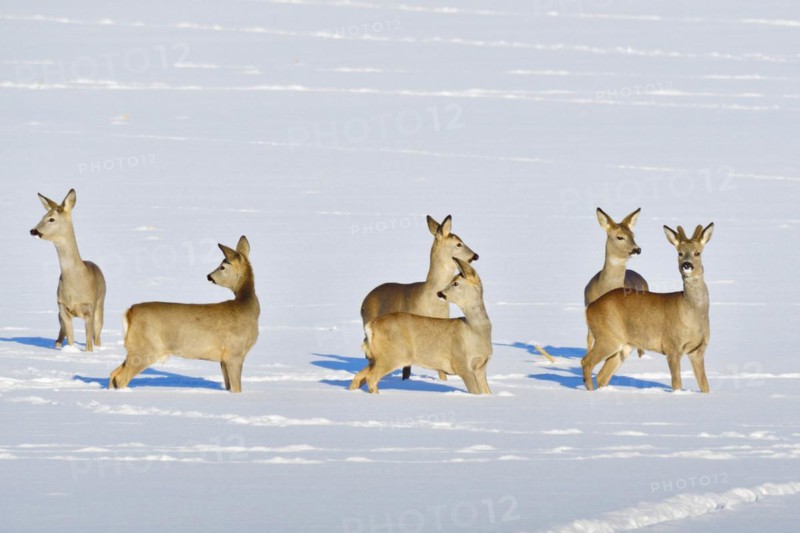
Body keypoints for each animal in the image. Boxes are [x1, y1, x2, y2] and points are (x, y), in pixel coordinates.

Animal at [30, 188, 106, 352]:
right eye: (42, 216)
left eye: (51, 219)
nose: (33, 231)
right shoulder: (62, 306)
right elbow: (70, 337)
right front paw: (70, 352)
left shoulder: (89, 306)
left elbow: (89, 341)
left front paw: (88, 353)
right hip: (59, 316)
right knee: (60, 336)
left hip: (100, 303)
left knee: (97, 336)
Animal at [108, 236, 260, 393]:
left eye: (222, 266)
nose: (209, 276)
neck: (247, 308)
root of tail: (130, 311)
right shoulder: (234, 353)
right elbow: (237, 388)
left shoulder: (223, 359)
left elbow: (229, 386)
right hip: (145, 348)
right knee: (120, 377)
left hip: (134, 348)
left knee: (113, 373)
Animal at [350, 258, 492, 395]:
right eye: (452, 281)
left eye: (456, 283)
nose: (440, 293)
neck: (474, 331)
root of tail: (370, 326)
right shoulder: (461, 363)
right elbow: (475, 392)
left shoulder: (481, 368)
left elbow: (486, 392)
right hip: (392, 355)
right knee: (370, 377)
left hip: (377, 358)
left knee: (358, 376)